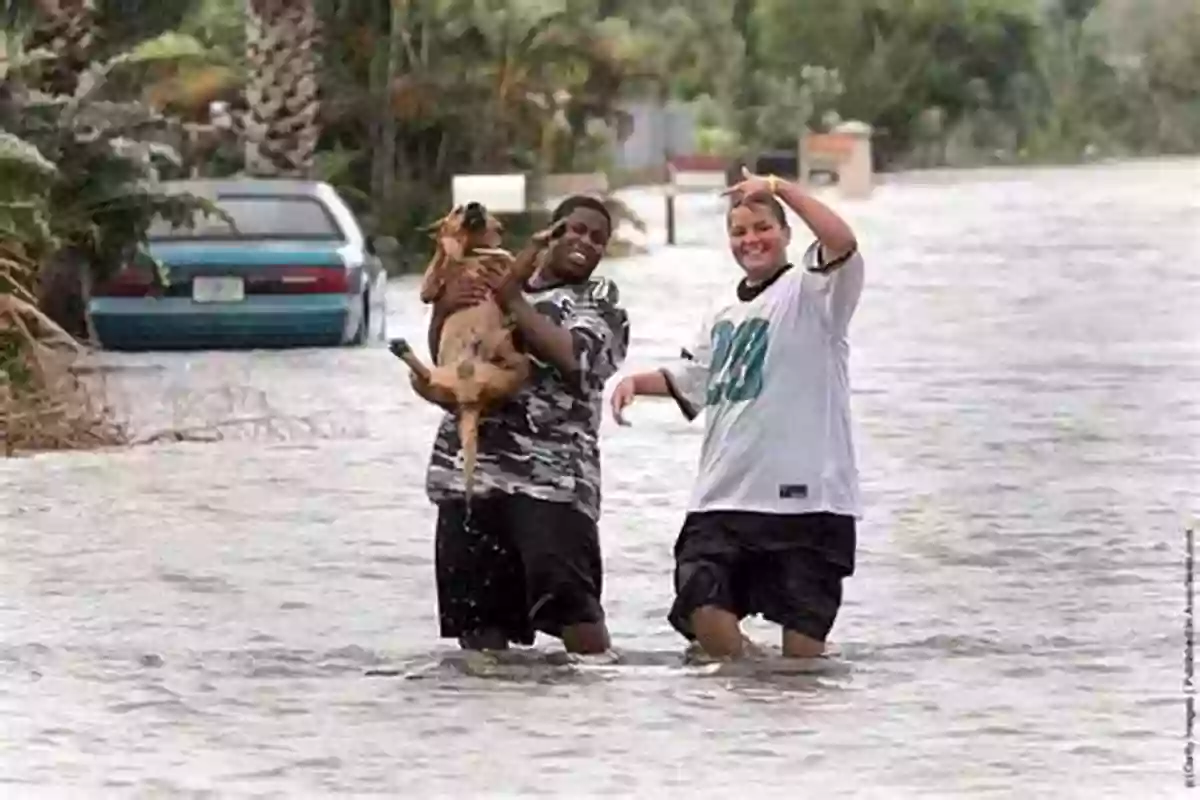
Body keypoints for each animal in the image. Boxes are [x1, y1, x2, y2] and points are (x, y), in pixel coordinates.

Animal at [391, 200, 564, 501]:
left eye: (482, 208)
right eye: (458, 209)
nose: (474, 205)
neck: (471, 252)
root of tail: (469, 399)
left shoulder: (508, 275)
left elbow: (520, 256)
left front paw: (545, 235)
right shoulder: (430, 289)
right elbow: (437, 266)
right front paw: (445, 243)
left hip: (515, 370)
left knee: (512, 360)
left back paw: (504, 334)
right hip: (425, 381)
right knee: (425, 375)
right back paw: (405, 351)